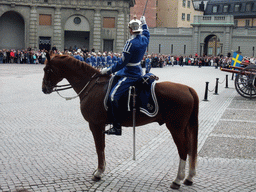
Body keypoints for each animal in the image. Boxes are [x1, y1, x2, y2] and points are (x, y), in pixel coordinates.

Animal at [42, 52, 199, 189]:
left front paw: (99, 172)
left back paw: (177, 180)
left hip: (175, 128)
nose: (44, 89)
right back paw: (189, 177)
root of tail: (188, 88)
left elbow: (99, 148)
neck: (91, 86)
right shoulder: (100, 126)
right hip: (184, 128)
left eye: (47, 69)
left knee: (183, 150)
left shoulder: (95, 125)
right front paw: (101, 170)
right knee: (191, 149)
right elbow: (102, 147)